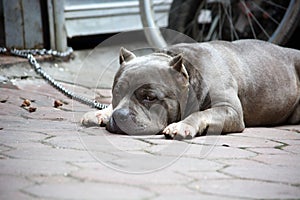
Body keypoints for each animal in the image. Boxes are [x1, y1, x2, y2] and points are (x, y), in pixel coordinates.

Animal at [81, 39, 298, 139]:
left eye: (150, 97)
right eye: (116, 93)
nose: (120, 116)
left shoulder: (230, 110)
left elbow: (201, 114)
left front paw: (182, 125)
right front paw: (101, 113)